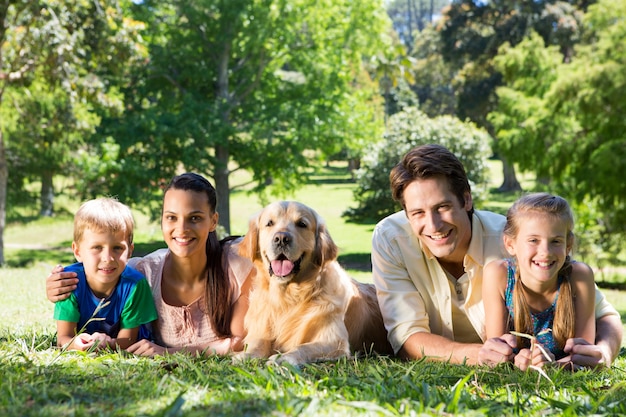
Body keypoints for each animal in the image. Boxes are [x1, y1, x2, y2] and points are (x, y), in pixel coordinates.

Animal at [234, 201, 390, 364]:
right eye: (269, 223)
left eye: (301, 224)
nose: (281, 238)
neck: (287, 298)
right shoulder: (261, 330)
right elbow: (258, 343)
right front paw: (246, 355)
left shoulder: (334, 341)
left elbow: (302, 347)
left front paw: (282, 358)